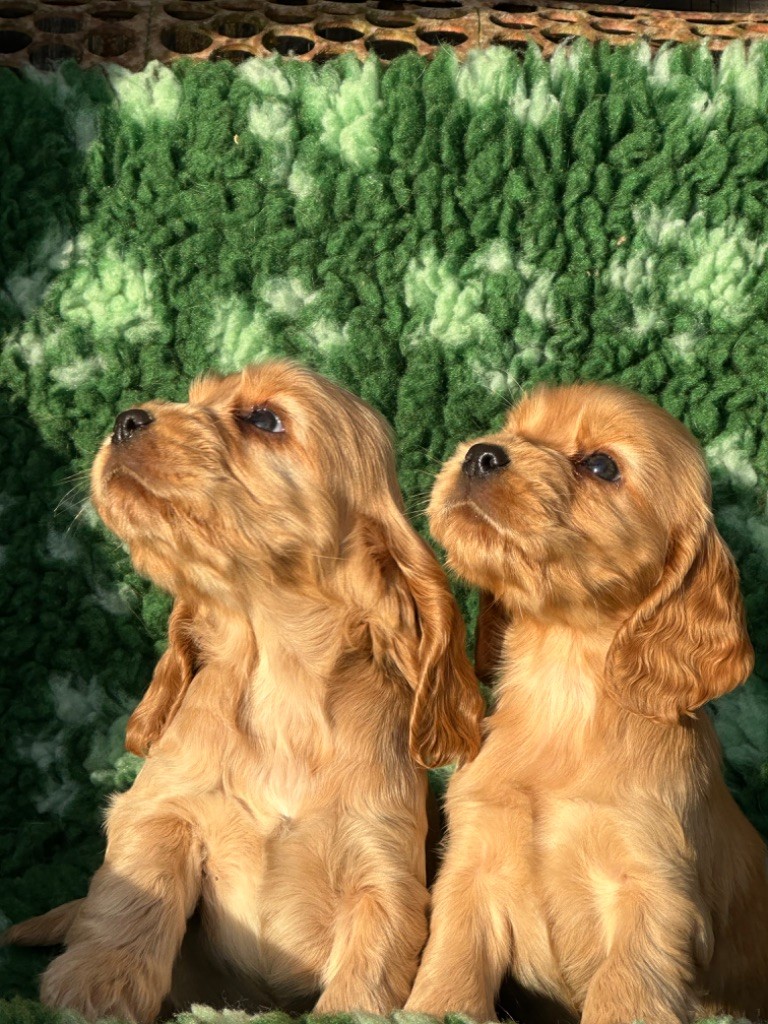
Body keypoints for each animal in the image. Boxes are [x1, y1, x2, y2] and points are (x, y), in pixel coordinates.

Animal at [6, 364, 483, 1024]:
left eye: (264, 418)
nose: (126, 420)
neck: (274, 680)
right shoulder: (162, 810)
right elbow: (129, 905)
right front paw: (88, 993)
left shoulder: (383, 869)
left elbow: (366, 978)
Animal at [405, 382, 765, 1024]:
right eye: (513, 429)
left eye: (600, 465)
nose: (480, 453)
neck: (563, 689)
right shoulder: (471, 864)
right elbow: (451, 963)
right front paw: (431, 1004)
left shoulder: (652, 892)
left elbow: (624, 992)